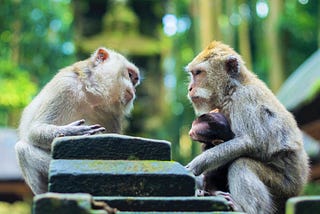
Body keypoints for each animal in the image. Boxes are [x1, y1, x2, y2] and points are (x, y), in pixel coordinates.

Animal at [15, 47, 139, 195]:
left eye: (135, 80)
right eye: (130, 75)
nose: (134, 89)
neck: (91, 94)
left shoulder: (113, 115)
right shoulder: (65, 86)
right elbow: (34, 131)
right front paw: (72, 132)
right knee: (22, 149)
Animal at [185, 41, 310, 213]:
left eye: (198, 73)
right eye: (193, 74)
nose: (190, 88)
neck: (232, 88)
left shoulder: (244, 99)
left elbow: (249, 142)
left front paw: (195, 167)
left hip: (283, 187)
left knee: (242, 163)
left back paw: (244, 209)